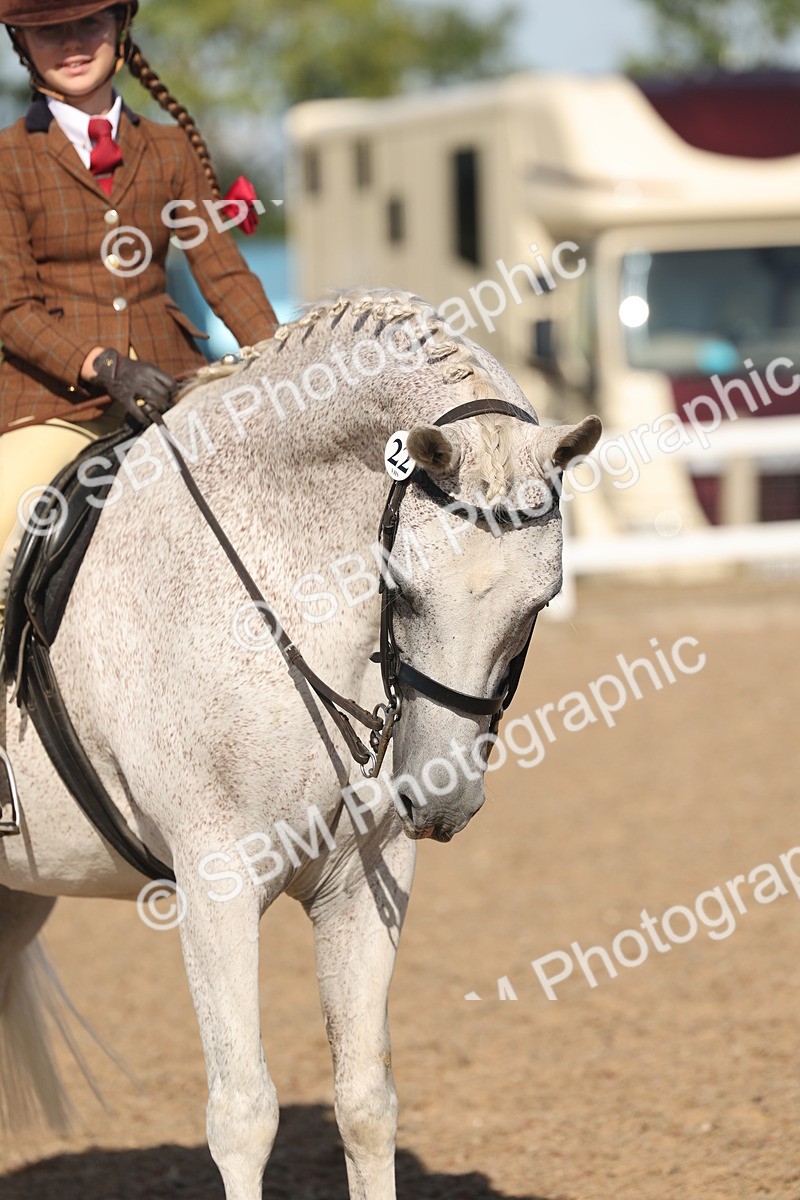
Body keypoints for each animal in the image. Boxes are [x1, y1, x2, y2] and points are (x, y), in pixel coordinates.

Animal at [0, 288, 601, 1200]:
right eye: (402, 588)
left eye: (541, 602)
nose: (440, 797)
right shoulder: (213, 882)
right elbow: (244, 1114)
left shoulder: (363, 881)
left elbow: (366, 1101)